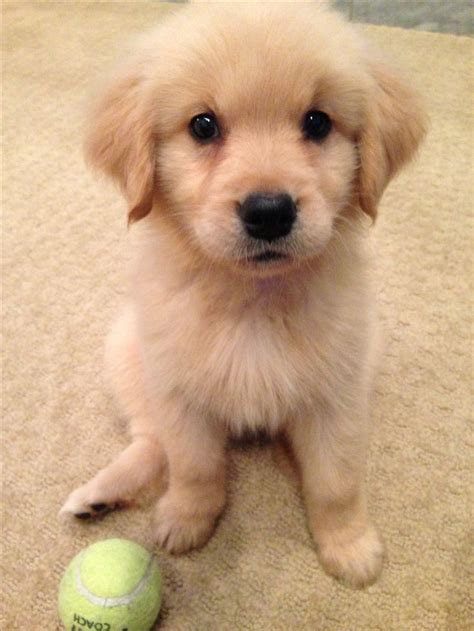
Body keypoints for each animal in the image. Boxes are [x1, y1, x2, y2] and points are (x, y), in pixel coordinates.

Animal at [60, 2, 426, 592]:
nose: (269, 212)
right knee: (151, 439)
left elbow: (336, 483)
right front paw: (188, 519)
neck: (253, 298)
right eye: (202, 126)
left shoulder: (338, 397)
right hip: (127, 352)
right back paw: (99, 495)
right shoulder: (179, 392)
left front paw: (348, 545)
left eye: (317, 122)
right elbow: (194, 466)